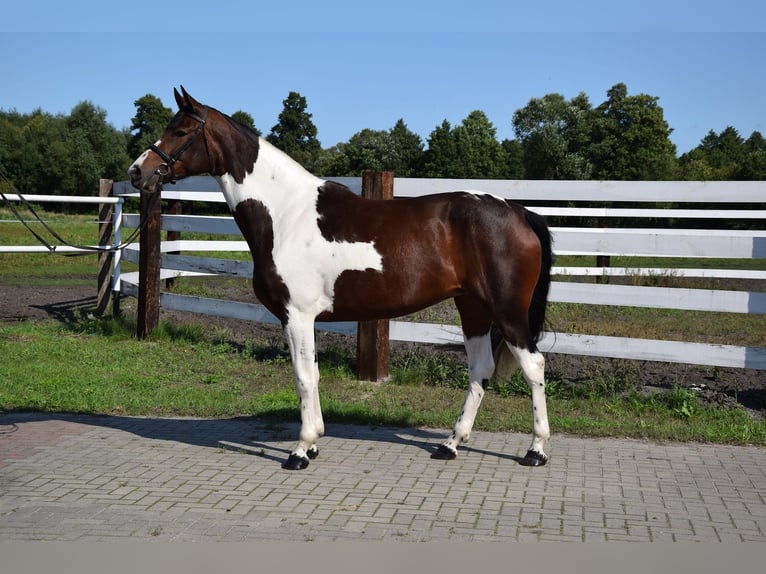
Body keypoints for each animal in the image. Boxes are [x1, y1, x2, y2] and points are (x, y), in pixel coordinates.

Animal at [129, 86, 556, 472]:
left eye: (181, 131)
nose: (138, 172)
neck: (285, 214)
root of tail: (519, 212)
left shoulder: (297, 315)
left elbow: (303, 377)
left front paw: (301, 450)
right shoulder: (300, 319)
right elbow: (311, 374)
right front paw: (315, 442)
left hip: (507, 311)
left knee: (534, 366)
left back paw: (535, 450)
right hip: (473, 308)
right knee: (480, 369)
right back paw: (450, 444)